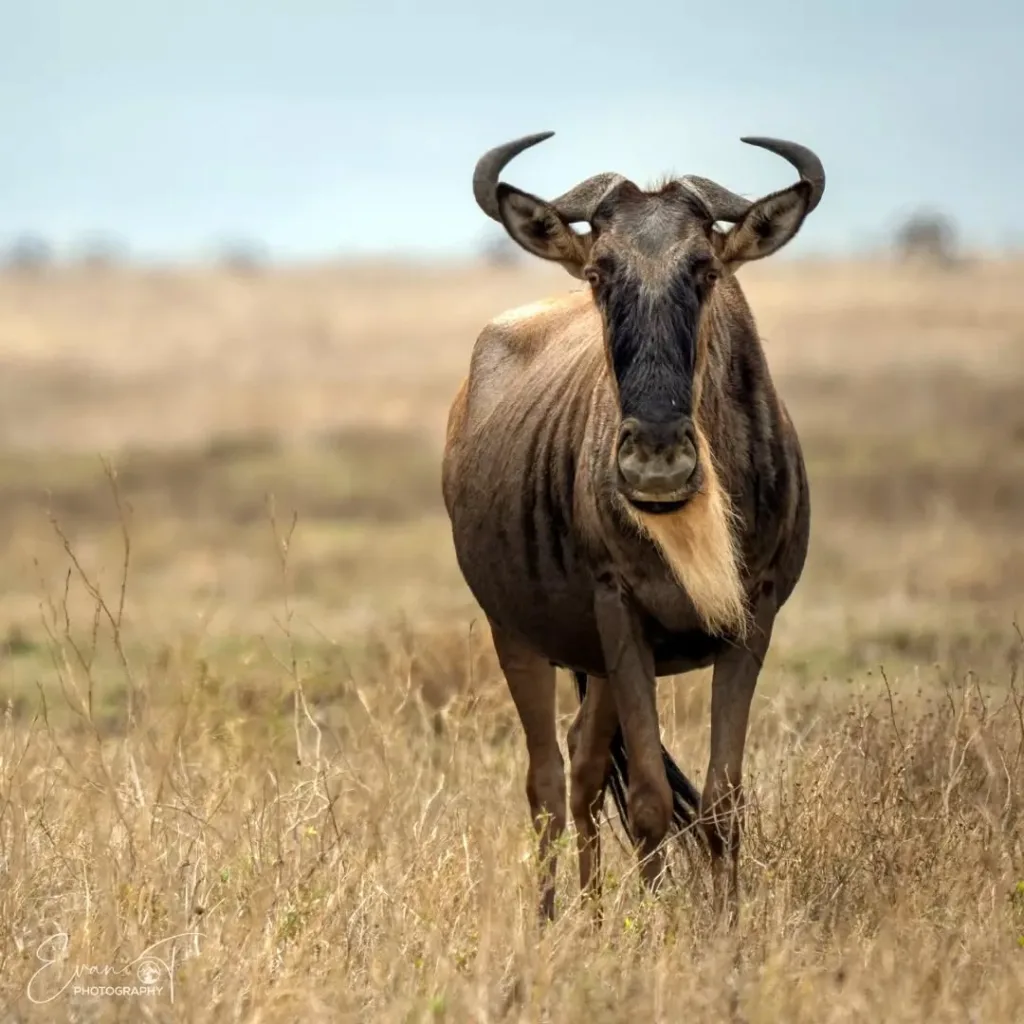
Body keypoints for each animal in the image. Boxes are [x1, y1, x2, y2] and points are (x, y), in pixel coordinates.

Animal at [441, 131, 823, 924]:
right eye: (598, 272)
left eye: (705, 267)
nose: (656, 462)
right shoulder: (623, 615)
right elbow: (647, 798)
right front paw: (653, 933)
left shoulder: (753, 618)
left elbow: (723, 800)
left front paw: (724, 929)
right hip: (518, 635)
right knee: (548, 782)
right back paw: (553, 921)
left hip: (594, 662)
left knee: (585, 765)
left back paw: (589, 918)